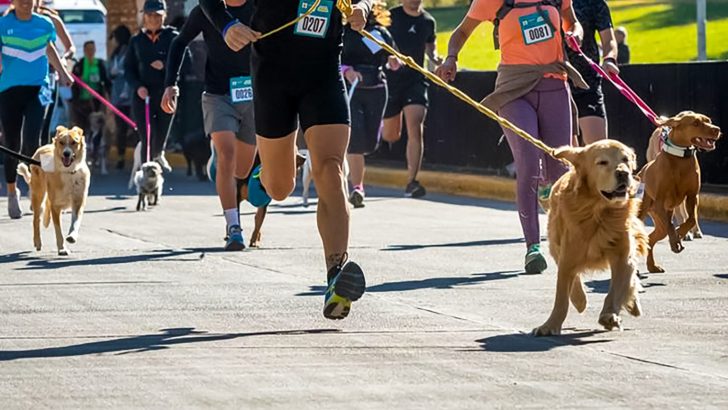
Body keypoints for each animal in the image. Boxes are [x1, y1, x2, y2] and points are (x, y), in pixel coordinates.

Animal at [16, 125, 91, 256]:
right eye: (61, 142)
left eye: (74, 142)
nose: (66, 153)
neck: (68, 172)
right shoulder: (56, 205)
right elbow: (58, 230)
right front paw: (62, 248)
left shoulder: (78, 200)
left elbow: (76, 220)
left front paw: (72, 236)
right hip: (38, 195)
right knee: (36, 220)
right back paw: (37, 242)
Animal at [536, 141, 648, 336]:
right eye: (602, 162)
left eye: (625, 159)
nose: (623, 173)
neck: (599, 211)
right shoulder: (568, 257)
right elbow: (562, 296)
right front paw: (550, 325)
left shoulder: (623, 256)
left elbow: (617, 289)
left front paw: (609, 315)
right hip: (556, 244)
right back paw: (581, 301)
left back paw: (632, 304)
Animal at [640, 111, 720, 272]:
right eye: (696, 123)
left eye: (709, 120)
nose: (717, 130)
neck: (680, 159)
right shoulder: (660, 202)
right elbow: (671, 225)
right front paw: (675, 240)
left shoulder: (692, 196)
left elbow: (691, 219)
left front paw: (681, 233)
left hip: (659, 220)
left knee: (651, 239)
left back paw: (652, 266)